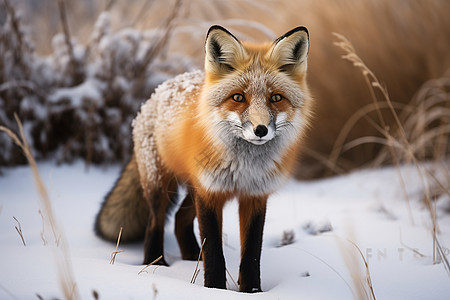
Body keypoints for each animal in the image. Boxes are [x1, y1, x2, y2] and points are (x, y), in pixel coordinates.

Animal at [95, 24, 312, 292]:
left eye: (276, 98)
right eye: (238, 97)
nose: (260, 130)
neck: (244, 167)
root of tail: (158, 90)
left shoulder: (254, 195)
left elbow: (252, 253)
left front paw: (252, 290)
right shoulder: (210, 193)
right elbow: (214, 252)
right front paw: (215, 289)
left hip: (194, 188)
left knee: (179, 220)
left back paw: (189, 260)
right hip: (161, 187)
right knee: (155, 224)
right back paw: (157, 265)